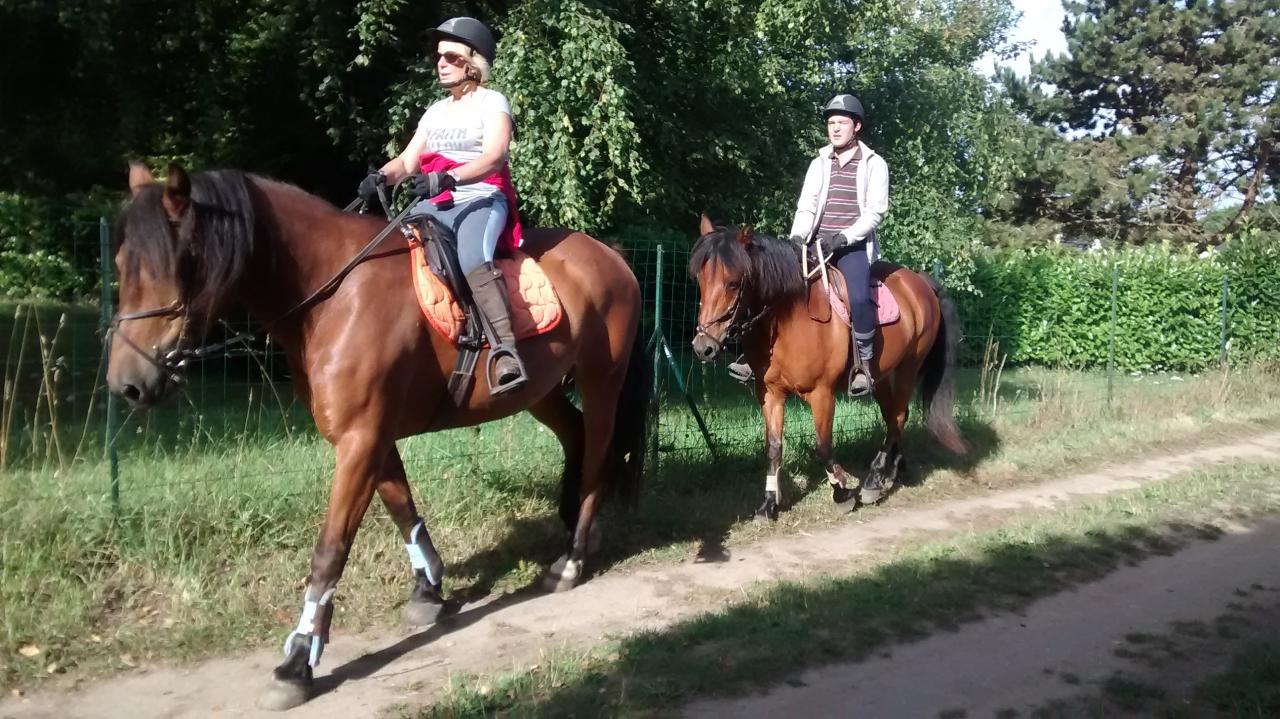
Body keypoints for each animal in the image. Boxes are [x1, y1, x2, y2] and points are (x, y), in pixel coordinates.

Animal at [107, 163, 650, 706]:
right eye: (120, 263)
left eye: (183, 263)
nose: (127, 384)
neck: (334, 296)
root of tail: (610, 256)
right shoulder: (371, 436)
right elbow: (402, 508)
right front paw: (429, 590)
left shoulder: (360, 440)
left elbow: (330, 550)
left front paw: (297, 661)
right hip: (541, 391)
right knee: (576, 438)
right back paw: (574, 528)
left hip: (602, 381)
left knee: (598, 457)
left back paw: (571, 560)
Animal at [691, 214, 962, 516]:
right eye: (700, 279)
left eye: (734, 283)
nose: (703, 347)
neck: (788, 318)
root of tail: (920, 281)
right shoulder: (770, 393)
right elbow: (773, 447)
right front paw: (768, 504)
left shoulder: (822, 393)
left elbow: (822, 444)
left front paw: (842, 492)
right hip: (880, 377)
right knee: (893, 415)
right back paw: (893, 471)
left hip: (908, 368)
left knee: (899, 417)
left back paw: (872, 480)